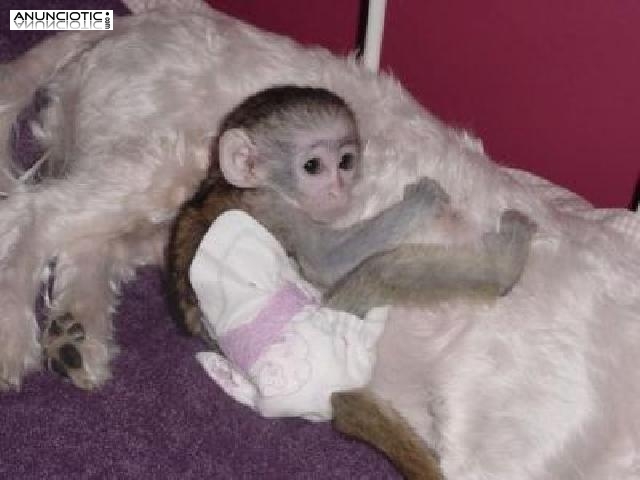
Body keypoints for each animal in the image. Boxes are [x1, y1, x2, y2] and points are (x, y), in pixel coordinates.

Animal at [165, 85, 536, 479]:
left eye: (345, 162)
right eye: (313, 167)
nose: (339, 190)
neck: (228, 182)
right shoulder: (276, 207)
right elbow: (327, 262)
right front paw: (423, 200)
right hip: (336, 331)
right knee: (383, 271)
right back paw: (504, 267)